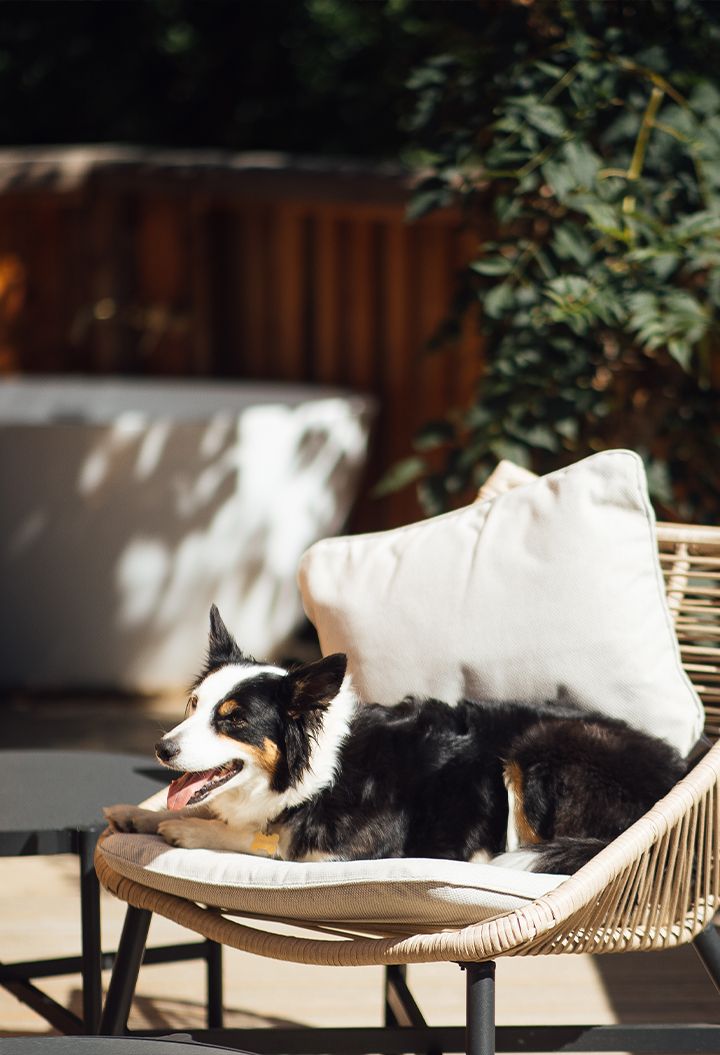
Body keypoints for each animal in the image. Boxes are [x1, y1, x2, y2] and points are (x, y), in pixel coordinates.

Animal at [105, 607, 684, 869]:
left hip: (538, 747)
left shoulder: (345, 853)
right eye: (193, 706)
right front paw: (141, 814)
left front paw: (186, 830)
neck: (315, 766)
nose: (162, 749)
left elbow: (270, 842)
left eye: (233, 720)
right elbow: (213, 810)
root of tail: (672, 775)